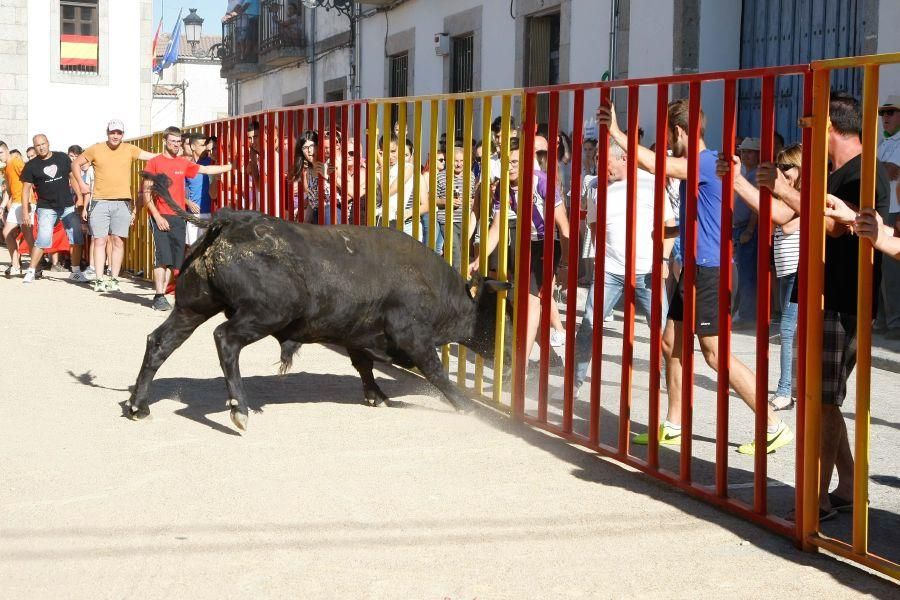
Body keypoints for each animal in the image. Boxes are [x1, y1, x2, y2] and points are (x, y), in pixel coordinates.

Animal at [126, 173, 512, 432]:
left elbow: (364, 365)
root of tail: (231, 220)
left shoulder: (358, 333)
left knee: (160, 342)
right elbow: (436, 372)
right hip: (268, 313)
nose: (510, 362)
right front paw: (465, 407)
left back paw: (137, 406)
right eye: (498, 316)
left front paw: (377, 395)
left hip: (193, 307)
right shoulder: (413, 337)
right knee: (225, 339)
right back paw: (240, 409)